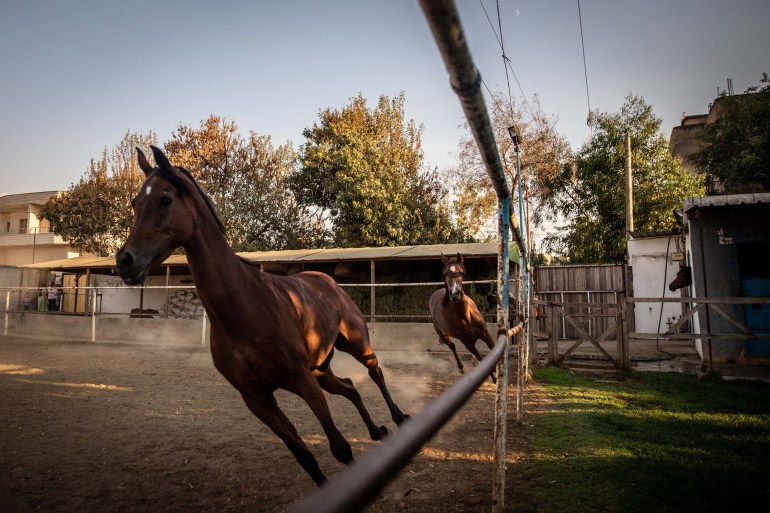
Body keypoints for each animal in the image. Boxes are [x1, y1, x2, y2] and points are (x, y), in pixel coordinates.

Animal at [115, 145, 408, 484]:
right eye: (135, 203)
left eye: (165, 199)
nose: (125, 261)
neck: (244, 309)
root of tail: (327, 280)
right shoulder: (257, 399)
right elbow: (305, 457)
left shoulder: (302, 380)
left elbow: (340, 448)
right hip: (321, 370)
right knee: (349, 386)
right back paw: (377, 431)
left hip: (354, 345)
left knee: (375, 372)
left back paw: (400, 417)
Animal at [426, 254, 498, 382]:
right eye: (445, 274)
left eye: (461, 273)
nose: (454, 293)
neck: (466, 316)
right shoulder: (468, 343)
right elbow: (481, 358)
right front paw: (494, 379)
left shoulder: (486, 334)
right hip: (443, 335)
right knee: (452, 346)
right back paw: (461, 368)